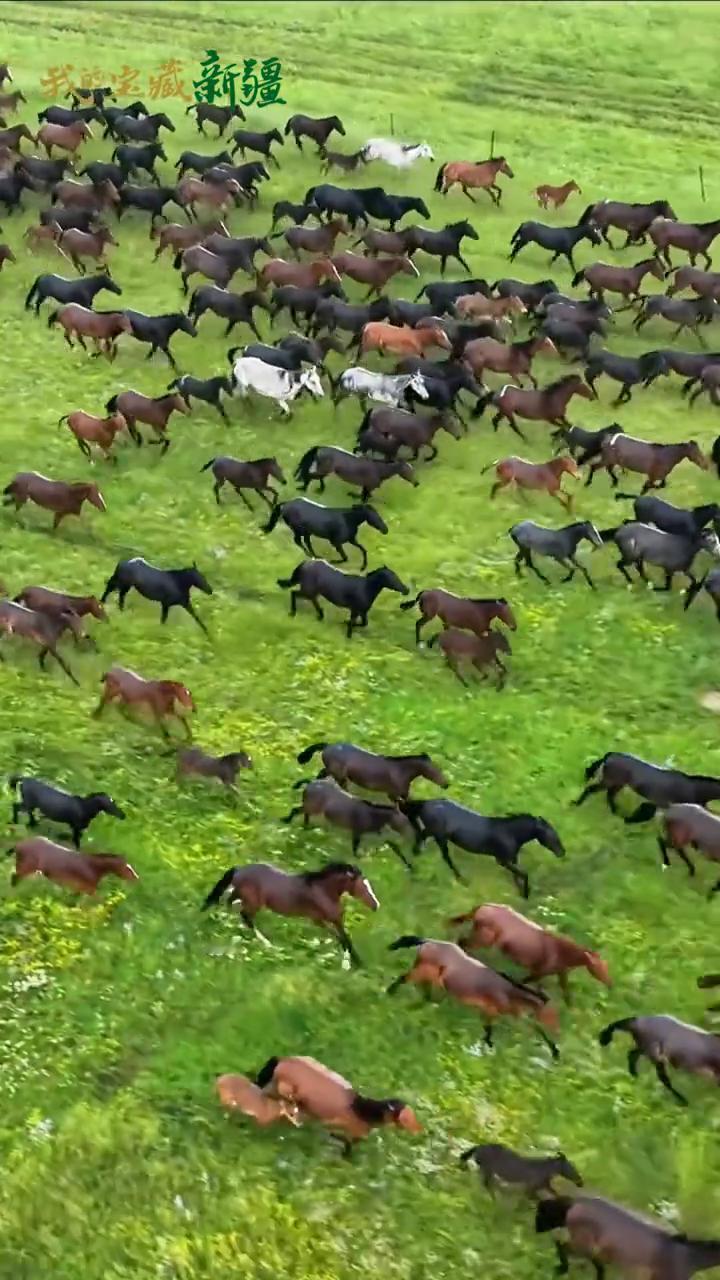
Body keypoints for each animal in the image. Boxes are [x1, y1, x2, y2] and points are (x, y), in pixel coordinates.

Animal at [201, 861, 378, 966]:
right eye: (362, 885)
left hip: (242, 896)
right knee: (244, 915)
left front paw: (356, 963)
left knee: (229, 902)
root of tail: (239, 869)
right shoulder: (320, 920)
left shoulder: (331, 921)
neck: (322, 890)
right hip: (254, 902)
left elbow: (345, 939)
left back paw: (223, 920)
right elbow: (344, 940)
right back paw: (267, 944)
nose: (376, 905)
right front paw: (353, 964)